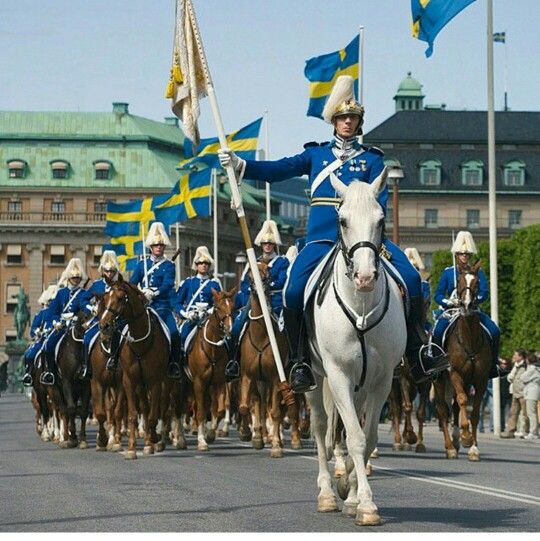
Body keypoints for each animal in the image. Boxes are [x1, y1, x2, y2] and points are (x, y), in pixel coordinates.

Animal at [99, 276, 170, 458]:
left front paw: (150, 443)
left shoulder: (155, 382)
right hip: (139, 385)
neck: (140, 342)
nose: (104, 325)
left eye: (119, 298)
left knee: (159, 409)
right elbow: (132, 414)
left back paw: (156, 439)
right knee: (144, 408)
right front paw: (131, 449)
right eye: (105, 298)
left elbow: (153, 416)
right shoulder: (129, 381)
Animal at [187, 286, 235, 452]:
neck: (212, 348)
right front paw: (202, 441)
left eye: (233, 306)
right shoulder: (199, 382)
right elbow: (201, 411)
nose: (229, 329)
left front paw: (210, 434)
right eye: (218, 307)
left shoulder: (218, 382)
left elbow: (217, 409)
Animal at [237, 262, 304, 456]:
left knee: (291, 407)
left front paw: (275, 446)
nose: (257, 287)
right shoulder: (248, 376)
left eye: (268, 273)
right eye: (249, 275)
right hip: (261, 382)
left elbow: (275, 412)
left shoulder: (276, 378)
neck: (261, 334)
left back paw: (293, 439)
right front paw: (250, 435)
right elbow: (246, 407)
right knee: (260, 404)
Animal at [306, 168, 408, 524]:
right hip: (314, 376)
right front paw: (363, 502)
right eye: (343, 220)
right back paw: (325, 492)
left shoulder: (382, 379)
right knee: (321, 427)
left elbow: (369, 435)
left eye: (381, 219)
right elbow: (354, 437)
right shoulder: (338, 374)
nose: (365, 277)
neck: (361, 305)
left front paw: (352, 493)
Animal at [432, 262, 492, 460]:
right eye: (458, 281)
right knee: (443, 411)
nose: (466, 304)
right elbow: (463, 400)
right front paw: (466, 437)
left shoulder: (481, 379)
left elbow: (474, 411)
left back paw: (457, 442)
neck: (469, 338)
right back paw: (450, 447)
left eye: (477, 282)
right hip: (440, 380)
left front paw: (473, 446)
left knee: (455, 407)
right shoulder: (455, 374)